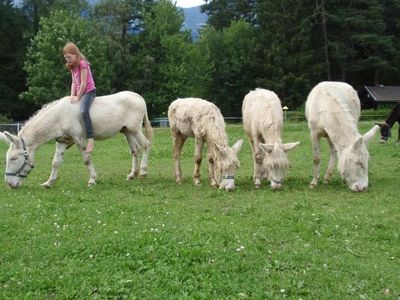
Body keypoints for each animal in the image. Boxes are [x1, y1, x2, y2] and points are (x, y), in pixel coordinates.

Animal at [0, 91, 153, 188]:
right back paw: (132, 175)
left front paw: (92, 180)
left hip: (135, 129)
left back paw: (144, 172)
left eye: (13, 159)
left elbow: (86, 160)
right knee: (134, 151)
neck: (59, 117)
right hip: (127, 131)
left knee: (146, 145)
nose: (9, 184)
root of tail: (138, 96)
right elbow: (56, 162)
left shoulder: (79, 140)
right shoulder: (62, 141)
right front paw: (49, 183)